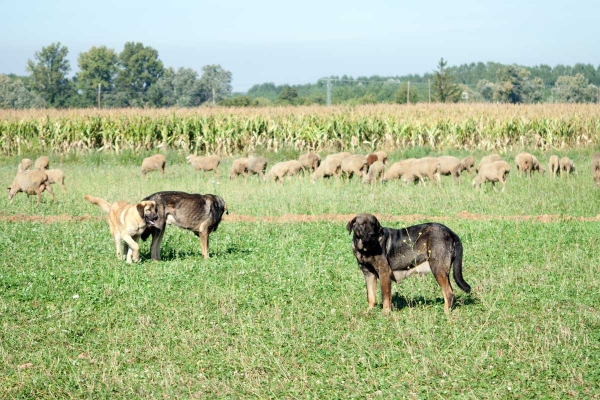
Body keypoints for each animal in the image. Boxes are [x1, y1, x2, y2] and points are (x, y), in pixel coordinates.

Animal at [346, 212, 474, 312]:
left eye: (373, 225)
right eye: (362, 224)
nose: (372, 234)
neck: (365, 249)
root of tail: (451, 232)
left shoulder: (384, 273)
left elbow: (385, 296)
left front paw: (385, 313)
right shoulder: (368, 274)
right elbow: (371, 296)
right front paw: (369, 311)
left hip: (438, 269)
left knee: (449, 293)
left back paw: (445, 313)